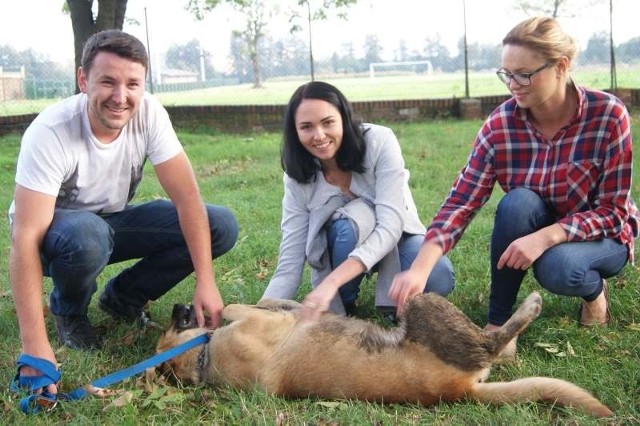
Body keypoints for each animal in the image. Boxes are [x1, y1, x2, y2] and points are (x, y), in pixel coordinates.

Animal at [156, 292, 616, 418]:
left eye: (172, 327)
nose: (178, 308)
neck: (204, 358)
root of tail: (461, 391)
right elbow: (237, 308)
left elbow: (274, 301)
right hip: (423, 304)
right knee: (495, 343)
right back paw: (528, 308)